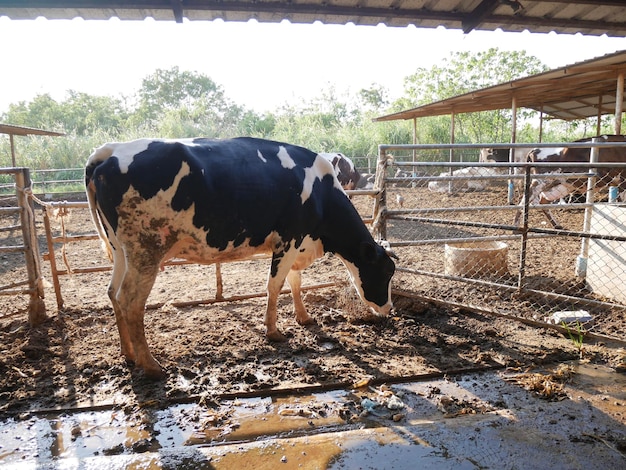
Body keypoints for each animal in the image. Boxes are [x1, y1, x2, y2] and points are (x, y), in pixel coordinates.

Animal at [86, 137, 394, 378]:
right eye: (385, 272)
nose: (389, 308)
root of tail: (110, 151)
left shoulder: (297, 242)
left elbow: (295, 281)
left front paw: (304, 317)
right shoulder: (290, 238)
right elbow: (275, 286)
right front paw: (273, 331)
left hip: (120, 250)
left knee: (112, 292)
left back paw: (128, 354)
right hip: (146, 250)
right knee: (130, 301)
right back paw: (150, 365)